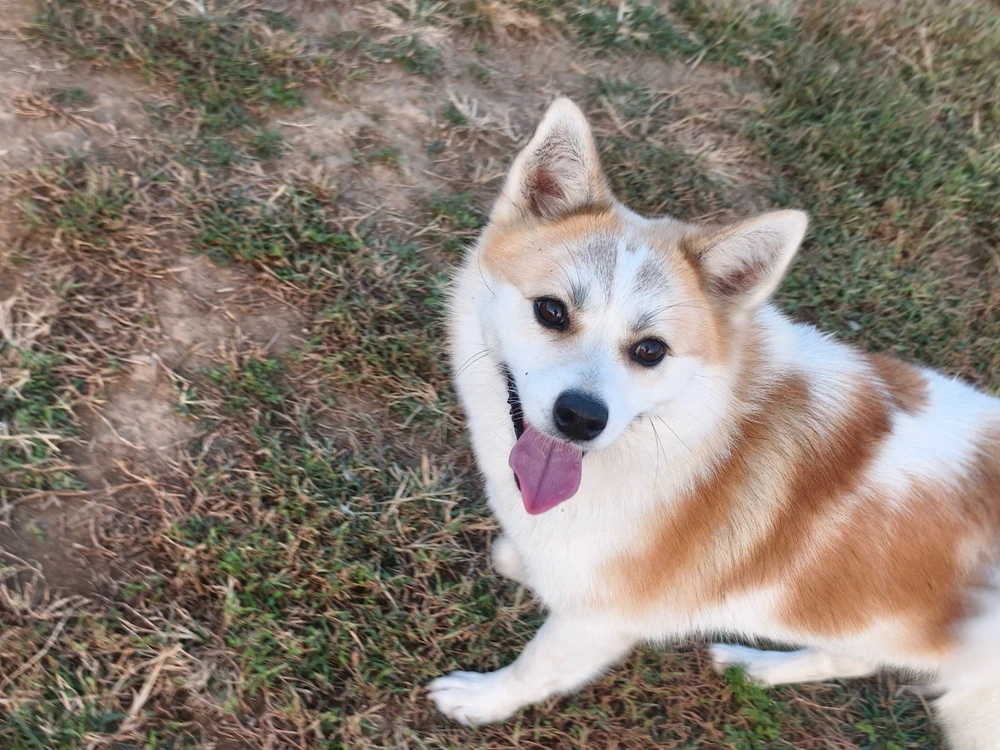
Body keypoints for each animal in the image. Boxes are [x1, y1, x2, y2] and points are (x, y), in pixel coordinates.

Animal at [428, 98, 1000, 749]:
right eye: (551, 311)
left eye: (650, 350)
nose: (582, 418)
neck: (699, 433)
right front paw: (523, 563)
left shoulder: (597, 623)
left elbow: (536, 667)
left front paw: (483, 699)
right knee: (850, 656)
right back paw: (757, 665)